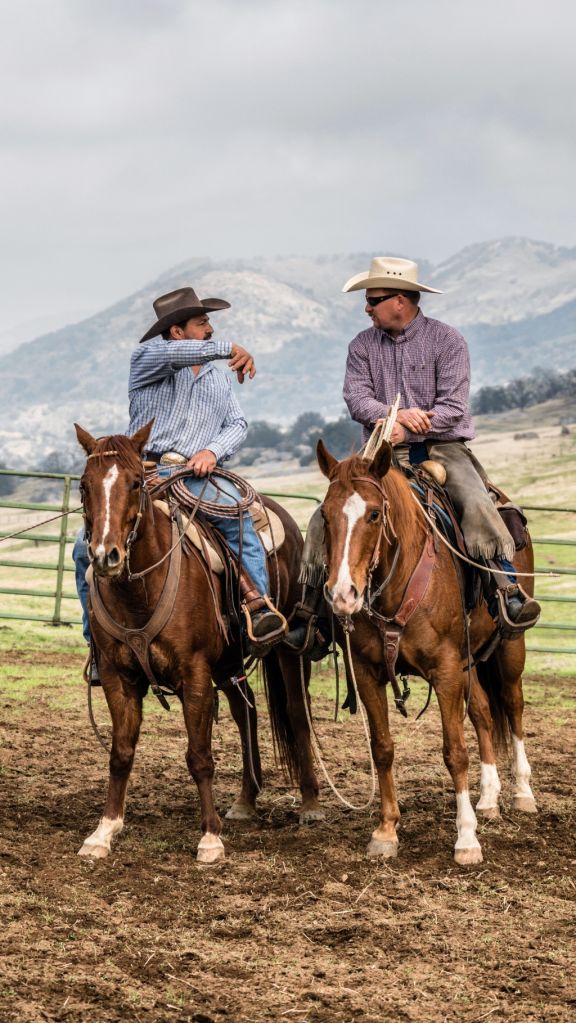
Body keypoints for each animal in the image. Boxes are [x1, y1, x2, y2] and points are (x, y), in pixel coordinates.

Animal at [73, 423, 323, 863]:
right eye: (85, 486)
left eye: (135, 482)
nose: (105, 556)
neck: (141, 592)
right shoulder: (119, 676)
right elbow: (120, 753)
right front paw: (104, 831)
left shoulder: (194, 674)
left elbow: (199, 756)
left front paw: (209, 837)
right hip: (228, 664)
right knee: (246, 711)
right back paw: (245, 799)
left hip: (286, 648)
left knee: (295, 712)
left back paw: (309, 803)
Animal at [317, 443, 540, 867]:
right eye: (324, 514)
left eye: (374, 513)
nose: (343, 594)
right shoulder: (368, 672)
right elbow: (383, 749)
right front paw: (386, 831)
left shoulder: (446, 671)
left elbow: (455, 752)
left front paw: (466, 839)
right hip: (471, 661)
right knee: (484, 713)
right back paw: (488, 797)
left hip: (509, 647)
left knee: (513, 706)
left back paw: (522, 792)